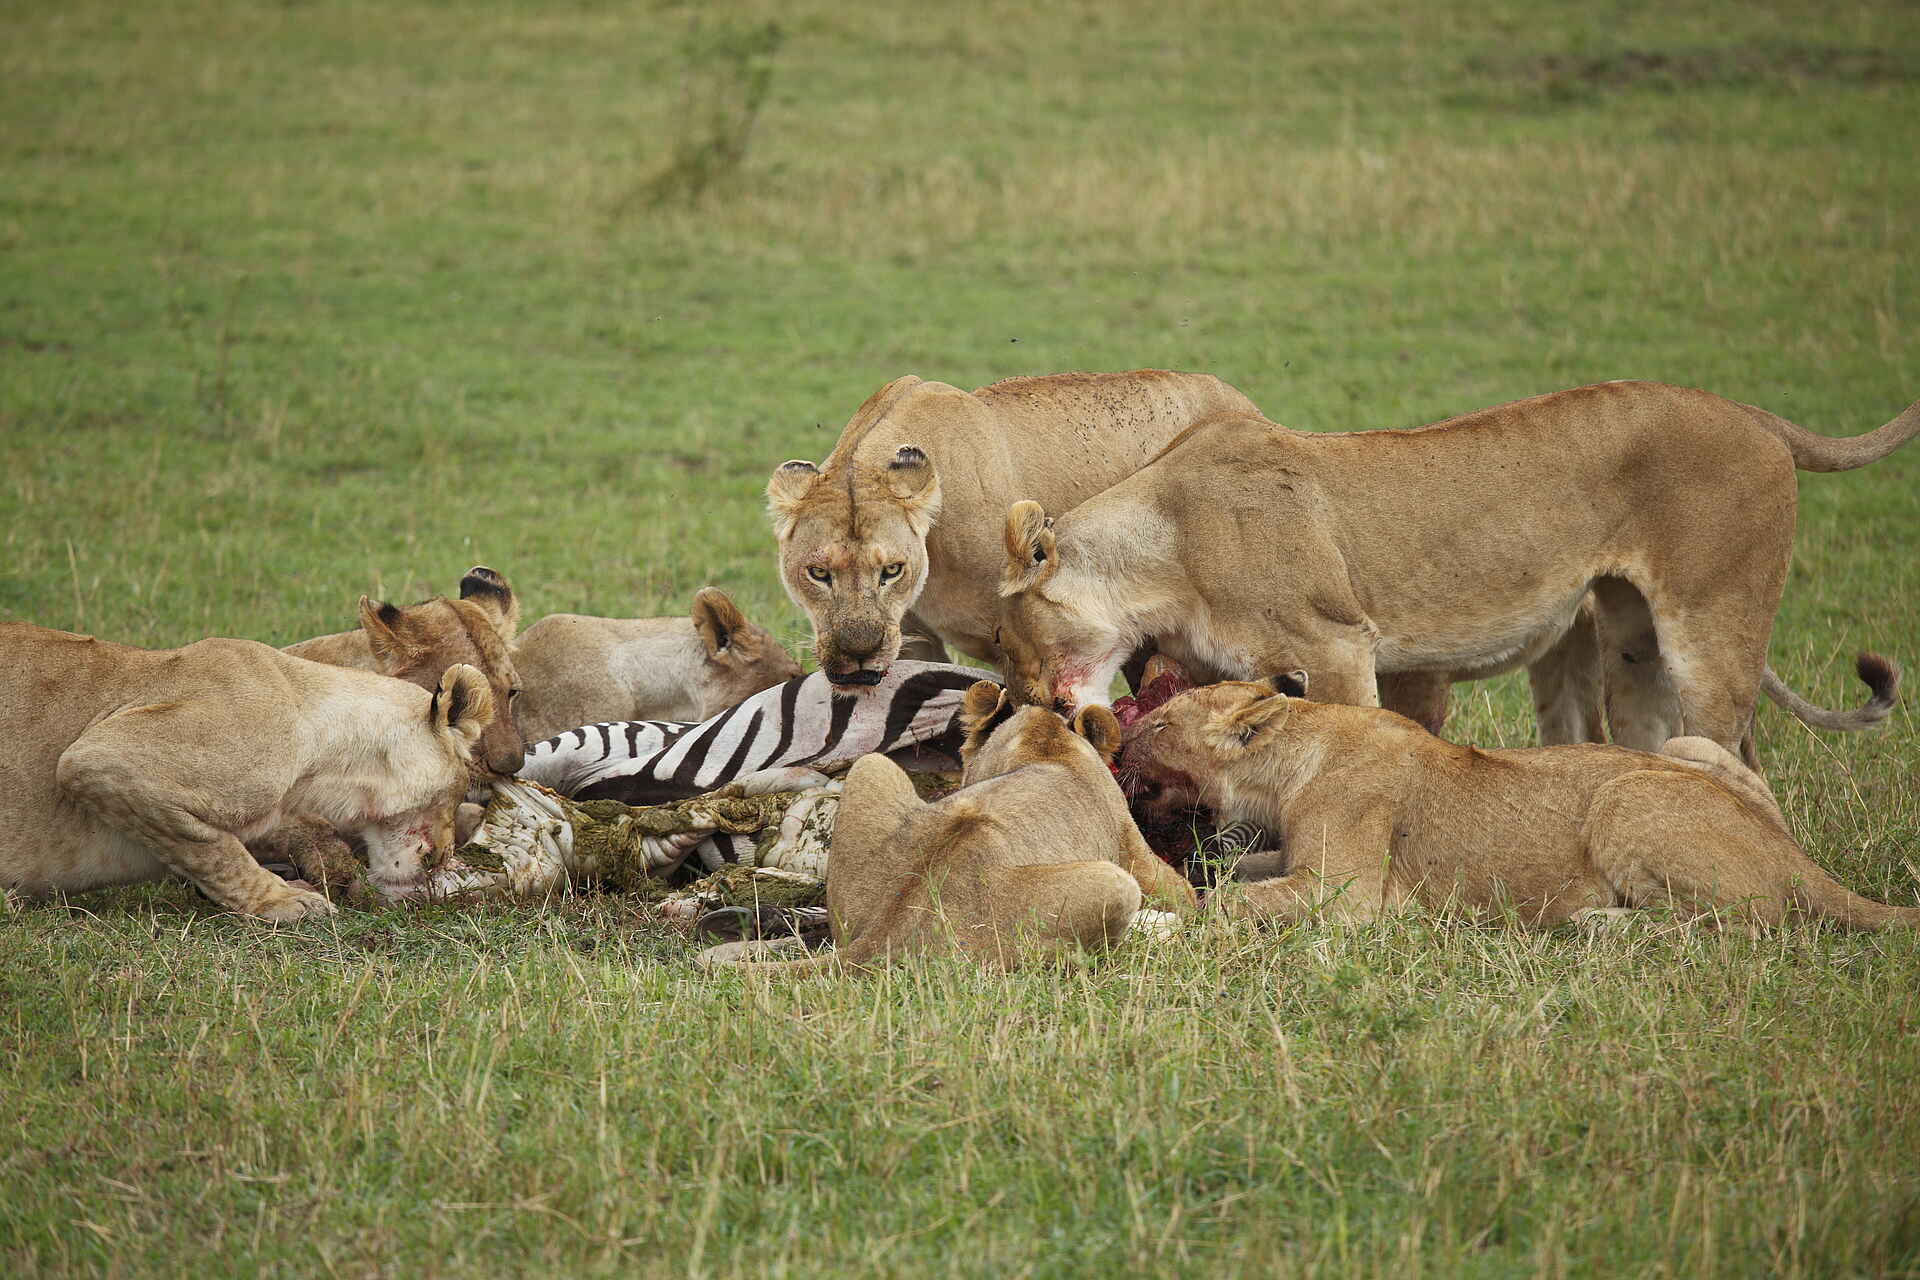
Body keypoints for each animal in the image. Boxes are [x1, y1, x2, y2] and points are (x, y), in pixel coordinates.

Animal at [701, 681, 1198, 974]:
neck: (1047, 741)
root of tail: (883, 937)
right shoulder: (1134, 850)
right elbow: (1188, 898)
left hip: (872, 768)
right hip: (1114, 884)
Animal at [765, 370, 1260, 687]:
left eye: (891, 571)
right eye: (818, 574)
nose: (858, 653)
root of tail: (1243, 401)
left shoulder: (1026, 648)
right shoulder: (910, 641)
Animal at [997, 382, 1916, 761]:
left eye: (1010, 643)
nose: (1031, 702)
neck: (1161, 554)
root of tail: (1754, 412)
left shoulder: (1337, 643)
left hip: (1712, 623)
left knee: (1730, 745)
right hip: (1629, 636)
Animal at [1116, 677, 1919, 930]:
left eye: (1157, 725)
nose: (1117, 749)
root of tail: (1794, 855)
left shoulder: (1345, 895)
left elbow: (1236, 899)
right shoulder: (1294, 858)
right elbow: (1239, 871)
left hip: (1626, 797)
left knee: (1748, 923)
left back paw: (1597, 923)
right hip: (1688, 748)